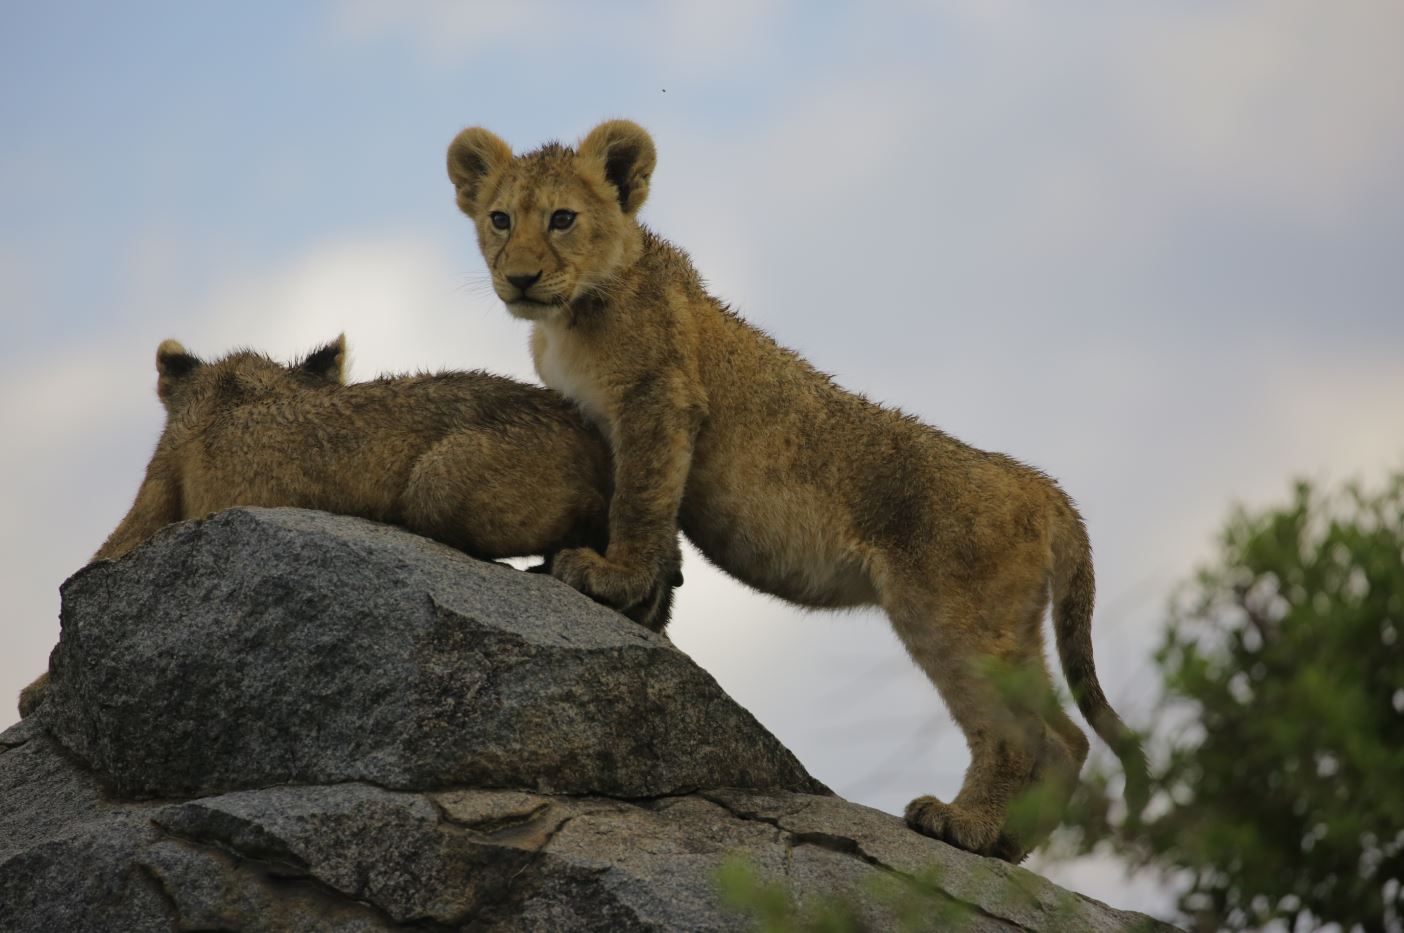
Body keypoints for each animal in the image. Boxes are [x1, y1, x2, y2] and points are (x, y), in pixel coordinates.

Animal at [18, 334, 678, 718]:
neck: (236, 388)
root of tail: (597, 444)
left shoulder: (162, 479)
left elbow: (97, 564)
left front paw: (38, 690)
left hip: (439, 483)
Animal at [445, 119, 1148, 861]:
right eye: (499, 219)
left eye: (562, 218)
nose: (520, 277)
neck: (571, 317)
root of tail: (1042, 487)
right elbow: (663, 539)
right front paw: (649, 609)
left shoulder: (659, 404)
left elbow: (639, 504)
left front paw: (609, 577)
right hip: (1012, 626)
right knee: (1068, 737)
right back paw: (1013, 843)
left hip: (952, 614)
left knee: (1021, 734)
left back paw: (966, 826)